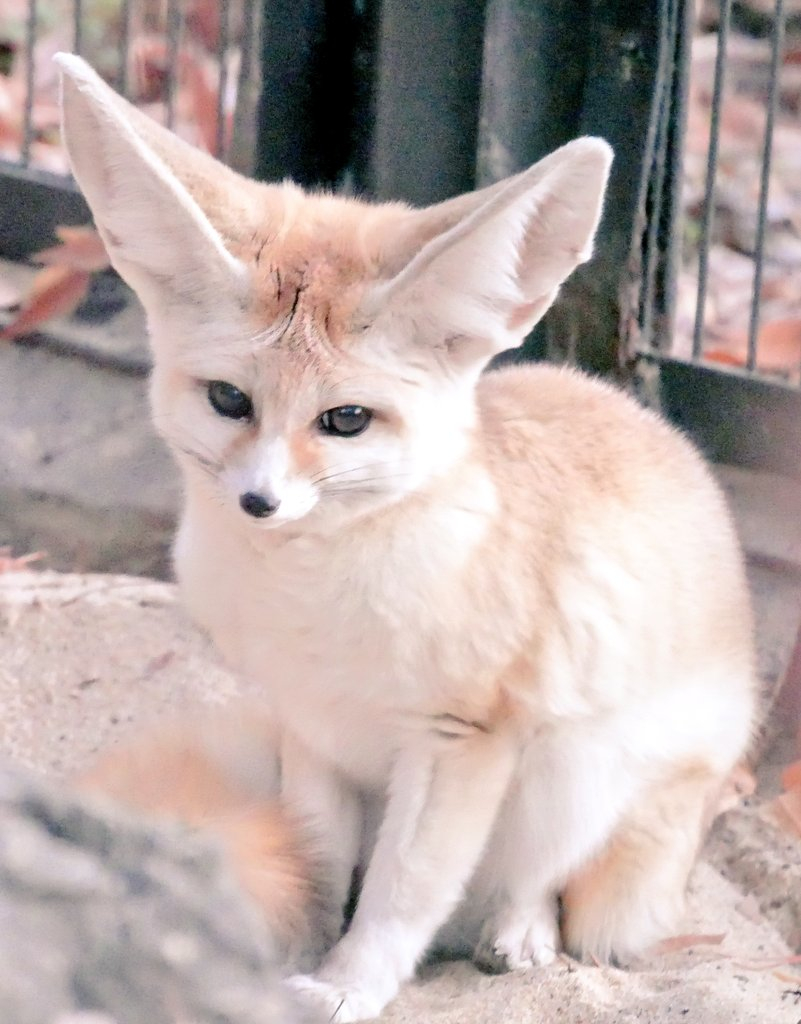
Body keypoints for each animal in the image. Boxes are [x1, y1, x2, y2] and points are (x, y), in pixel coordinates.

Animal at [56, 53, 757, 1023]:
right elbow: (316, 866)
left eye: (345, 419)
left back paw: (520, 933)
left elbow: (401, 891)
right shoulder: (309, 729)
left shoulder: (460, 740)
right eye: (229, 400)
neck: (312, 602)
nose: (259, 501)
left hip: (579, 765)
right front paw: (287, 956)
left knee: (537, 885)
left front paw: (349, 984)